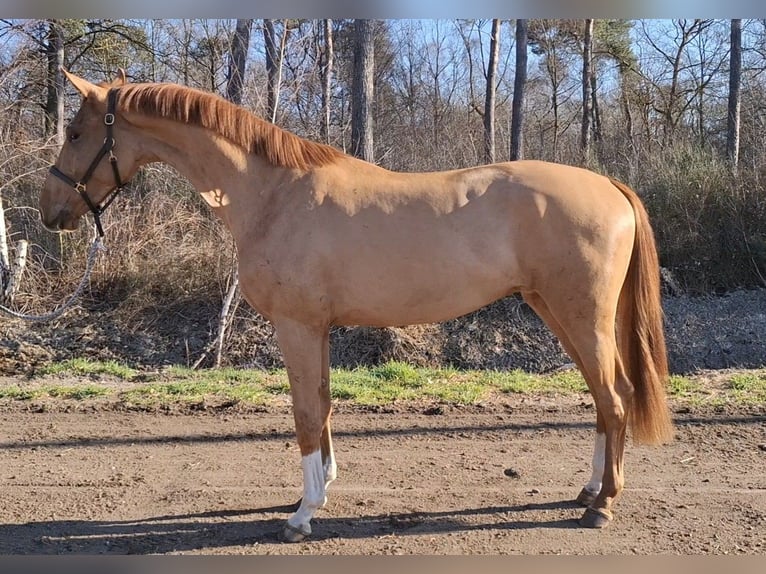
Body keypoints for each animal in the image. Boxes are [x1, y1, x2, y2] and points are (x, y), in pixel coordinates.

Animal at [39, 70, 673, 543]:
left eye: (74, 131)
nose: (50, 212)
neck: (272, 195)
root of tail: (610, 186)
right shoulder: (316, 329)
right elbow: (322, 406)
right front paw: (319, 489)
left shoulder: (296, 326)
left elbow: (304, 413)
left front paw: (301, 516)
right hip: (556, 311)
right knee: (602, 398)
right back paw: (589, 490)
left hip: (581, 316)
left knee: (615, 398)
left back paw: (602, 506)